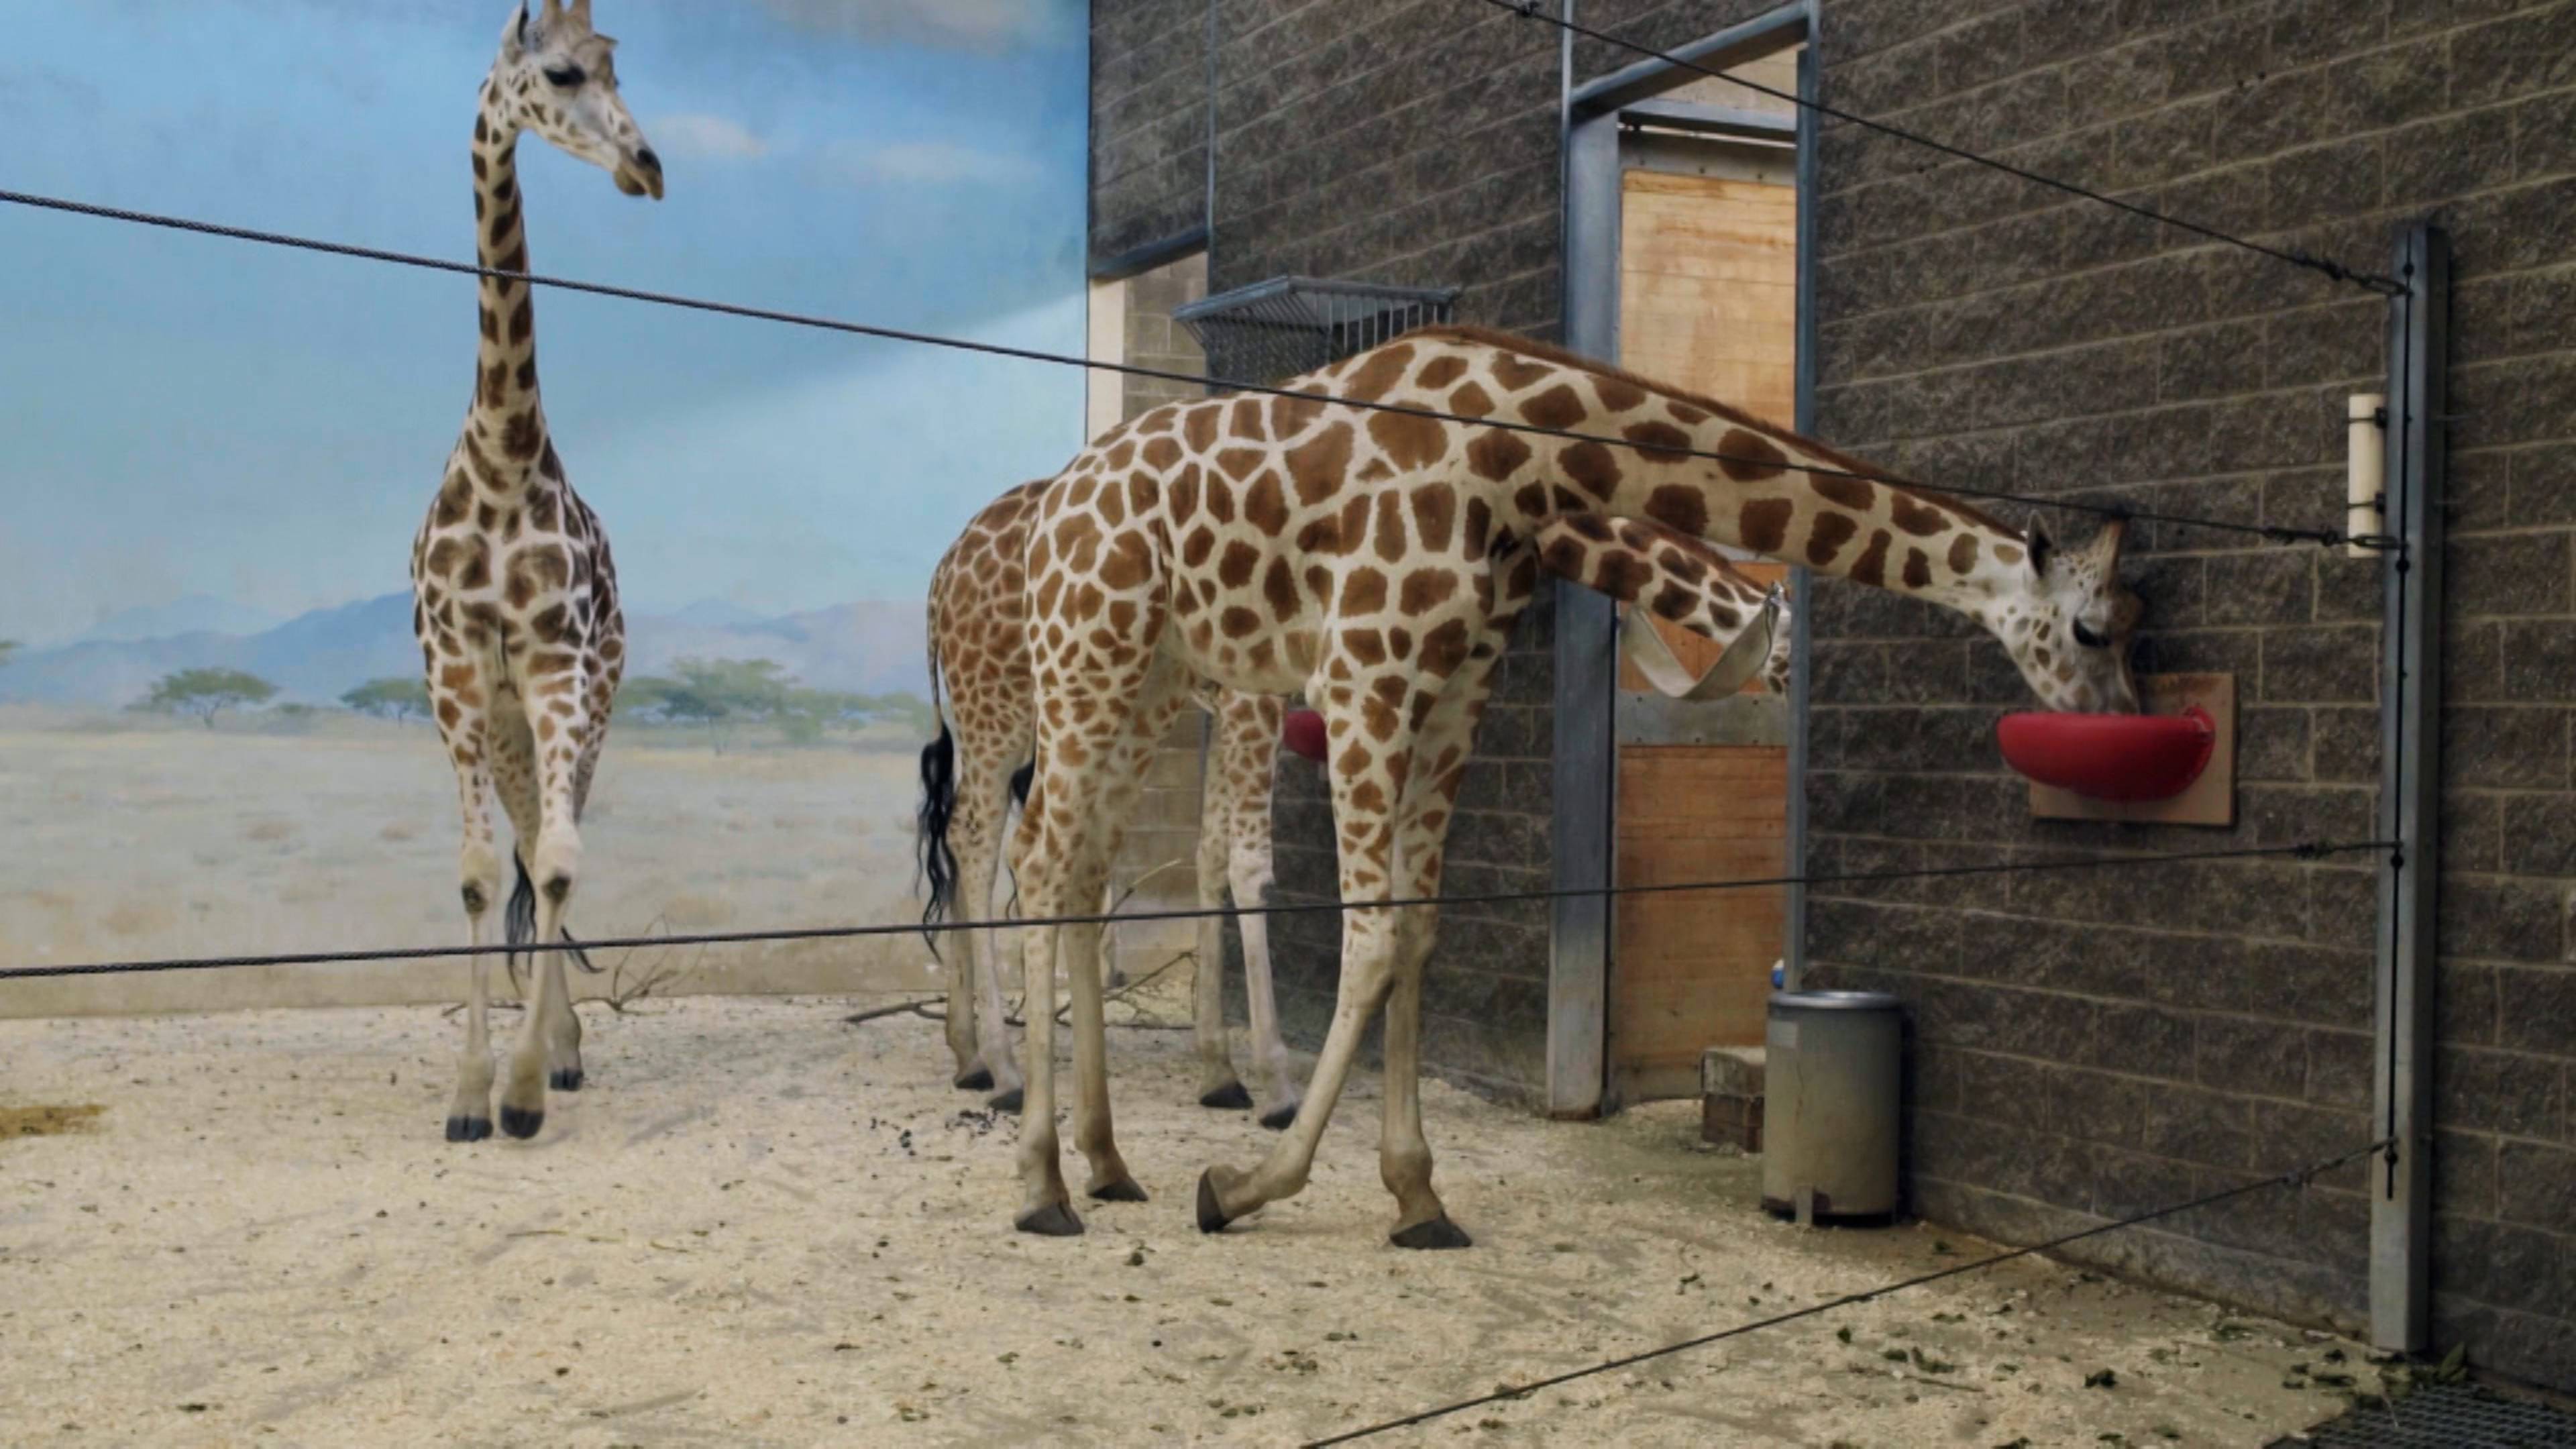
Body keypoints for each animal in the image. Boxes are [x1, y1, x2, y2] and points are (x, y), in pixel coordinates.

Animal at [914, 484, 1789, 1131]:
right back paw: (1005, 1066)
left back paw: (969, 1054)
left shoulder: (1246, 708)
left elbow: (1212, 856)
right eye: (1792, 659)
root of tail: (938, 576)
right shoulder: (1257, 702)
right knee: (982, 841)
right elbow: (1251, 865)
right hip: (1002, 702)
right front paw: (1277, 1086)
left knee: (972, 843)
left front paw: (1219, 1069)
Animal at [1002, 324, 2141, 1242]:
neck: (1526, 453)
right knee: (1039, 860)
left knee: (1081, 873)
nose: (2122, 724)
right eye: (2093, 629)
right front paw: (1246, 1185)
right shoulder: (1365, 671)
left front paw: (1417, 1196)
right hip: (1088, 658)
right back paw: (1043, 1184)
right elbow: (1370, 938)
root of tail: (1053, 505)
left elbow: (1418, 932)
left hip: (1151, 684)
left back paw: (1106, 1162)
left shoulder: (1458, 687)